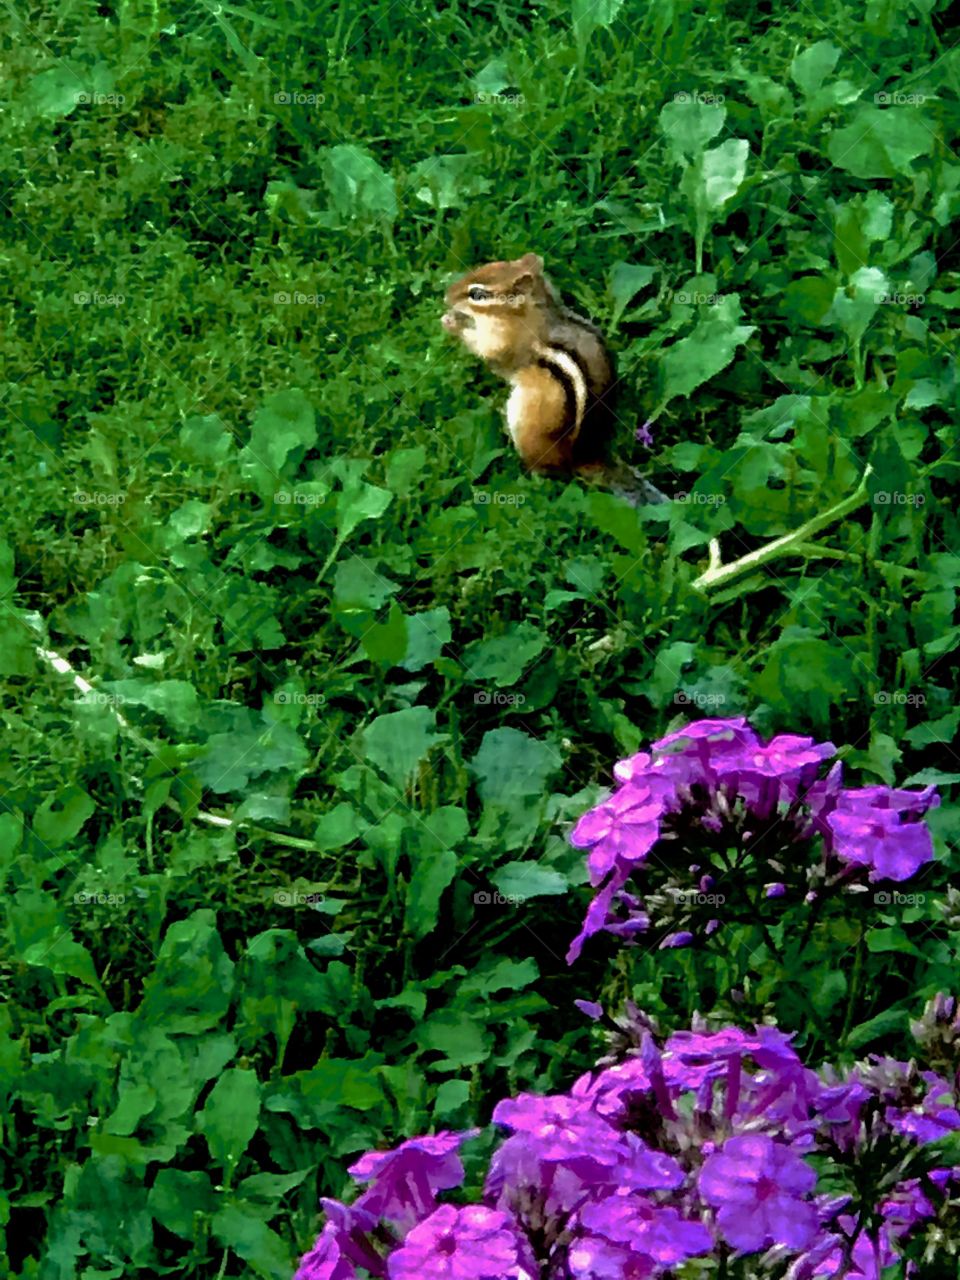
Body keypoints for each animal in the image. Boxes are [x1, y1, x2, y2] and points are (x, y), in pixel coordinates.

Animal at [441, 252, 665, 505]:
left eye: (478, 295)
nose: (446, 295)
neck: (532, 307)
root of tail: (585, 457)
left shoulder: (507, 344)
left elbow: (489, 354)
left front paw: (451, 322)